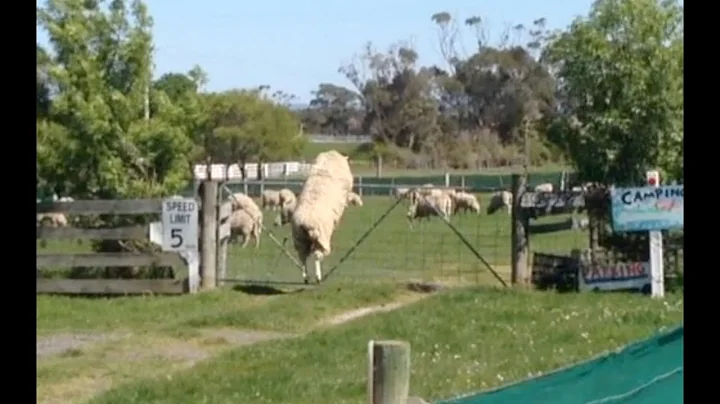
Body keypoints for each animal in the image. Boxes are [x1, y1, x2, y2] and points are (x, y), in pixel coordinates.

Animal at [288, 149, 352, 284]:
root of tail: (305, 222)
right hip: (321, 236)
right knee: (317, 255)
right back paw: (318, 277)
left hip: (299, 237)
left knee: (302, 256)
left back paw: (306, 277)